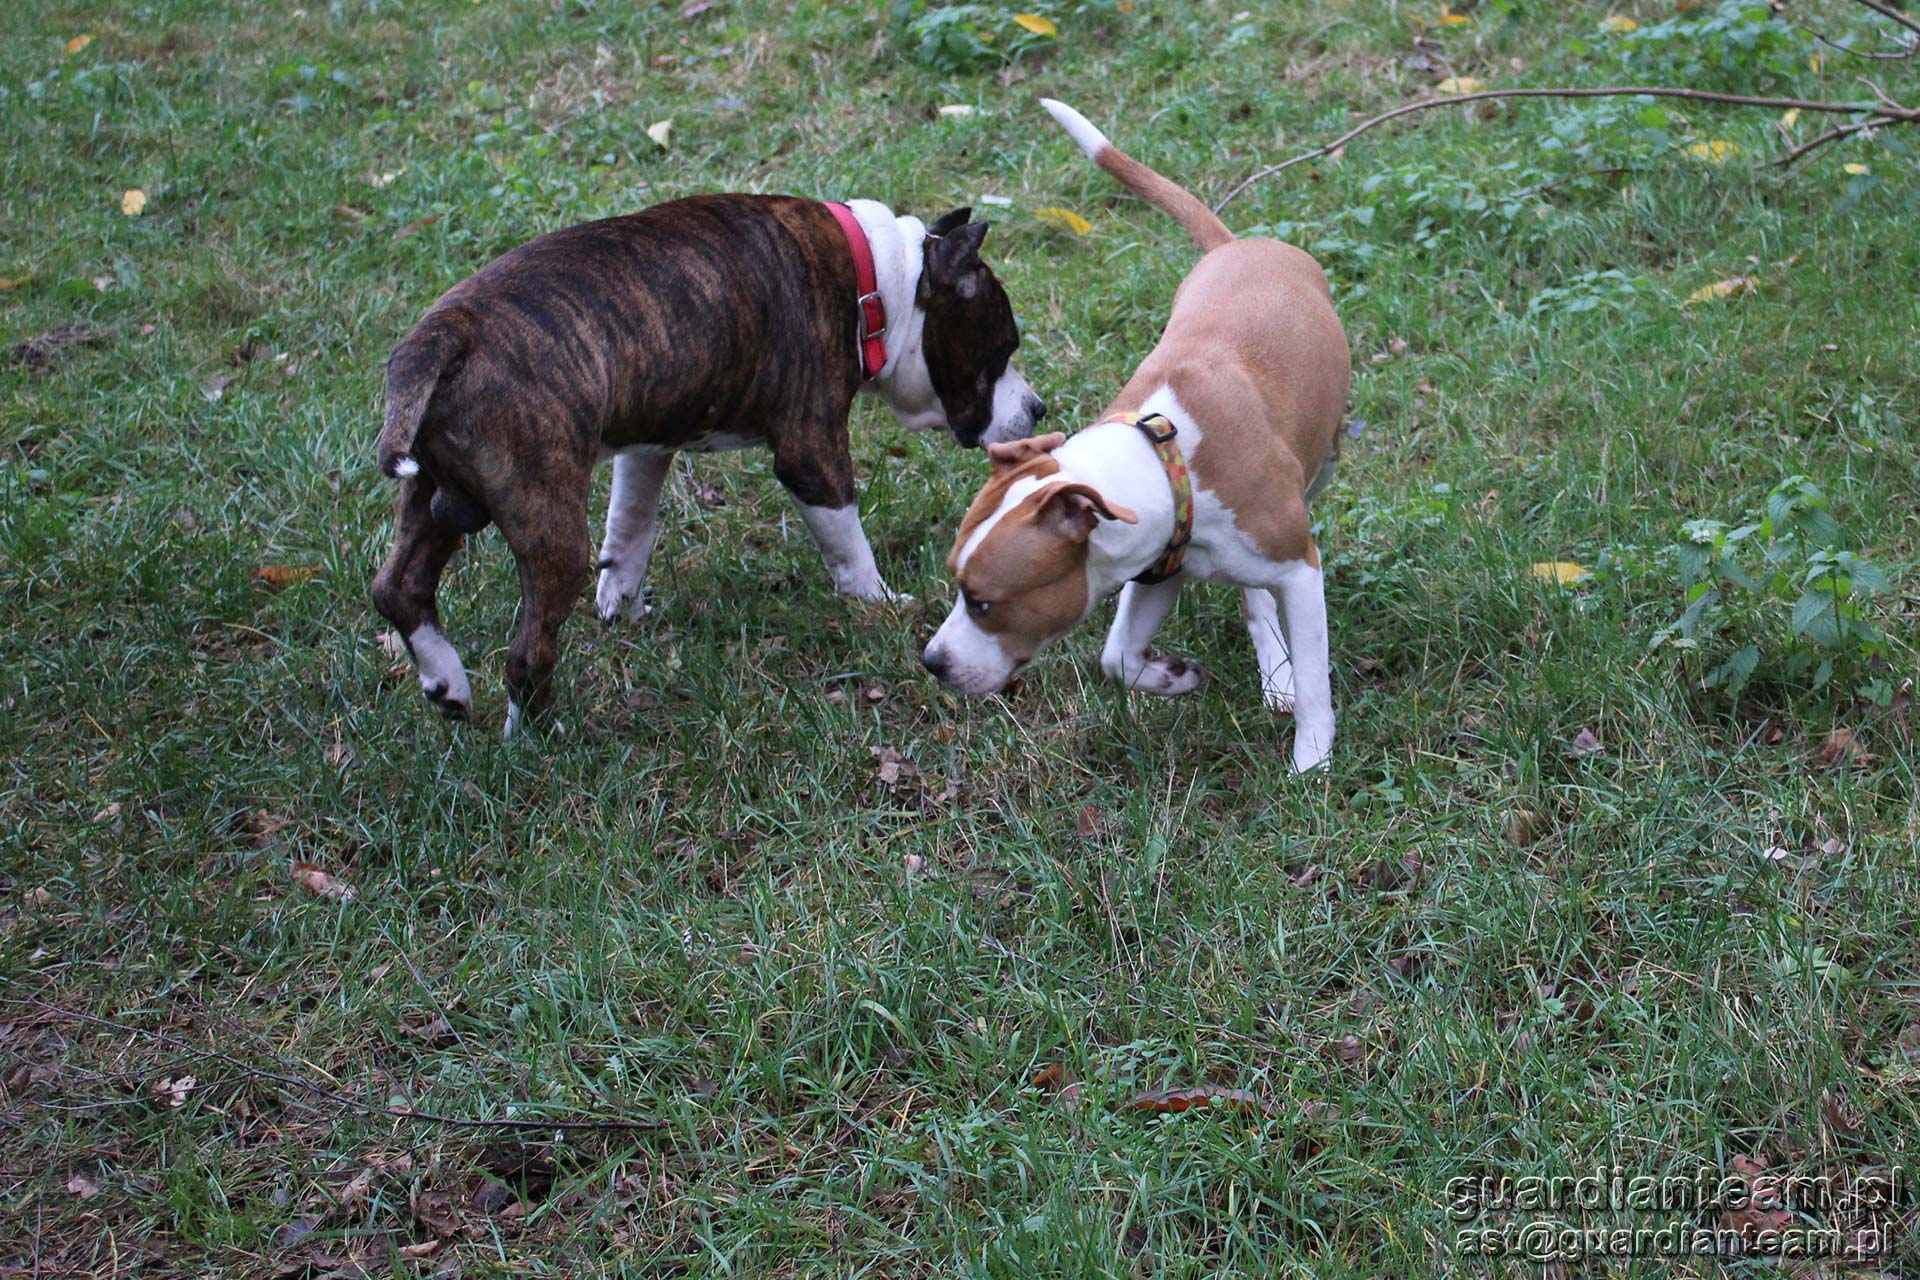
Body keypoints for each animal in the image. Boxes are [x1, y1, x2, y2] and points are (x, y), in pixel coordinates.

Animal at [371, 196, 1044, 735]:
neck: (879, 277)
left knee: (399, 588)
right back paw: (533, 738)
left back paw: (447, 684)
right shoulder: (811, 454)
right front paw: (877, 604)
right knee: (525, 652)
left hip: (436, 501)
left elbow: (631, 530)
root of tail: (445, 336)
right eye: (1002, 349)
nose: (1037, 408)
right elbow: (848, 545)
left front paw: (622, 607)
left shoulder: (647, 447)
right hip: (549, 527)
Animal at [920, 101, 1349, 773]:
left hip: (1323, 461)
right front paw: (1172, 676)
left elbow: (1314, 680)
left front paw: (1311, 762)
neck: (1165, 458)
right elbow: (1116, 658)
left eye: (984, 601)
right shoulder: (1156, 568)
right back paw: (1271, 667)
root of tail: (1236, 246)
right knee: (1254, 599)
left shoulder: (1300, 569)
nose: (931, 663)